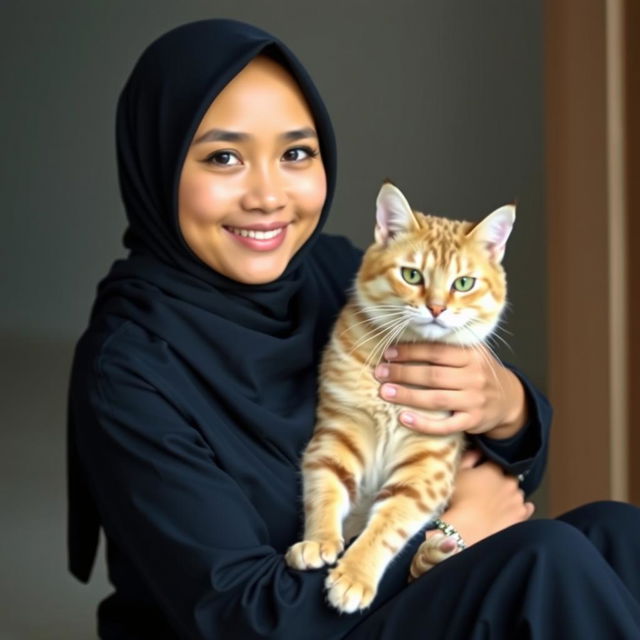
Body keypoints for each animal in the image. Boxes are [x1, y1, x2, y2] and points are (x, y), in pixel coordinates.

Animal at [286, 182, 516, 612]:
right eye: (412, 275)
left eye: (463, 283)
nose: (437, 308)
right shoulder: (338, 432)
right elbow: (324, 491)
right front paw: (317, 541)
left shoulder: (428, 464)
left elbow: (388, 524)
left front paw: (354, 576)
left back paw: (434, 552)